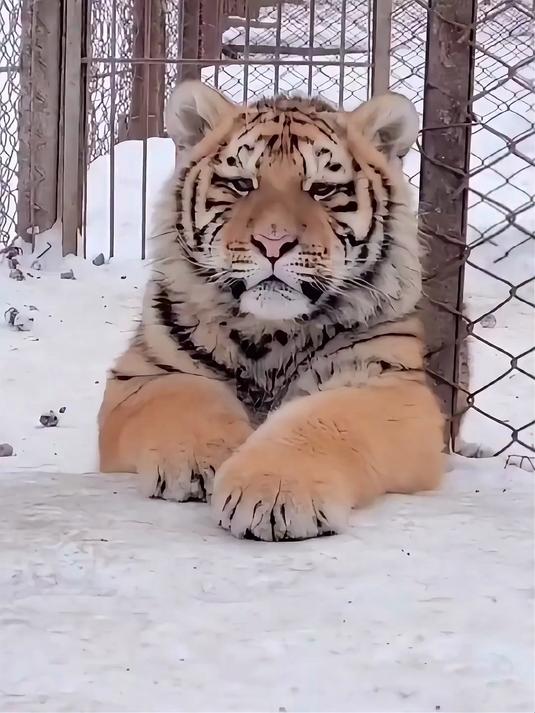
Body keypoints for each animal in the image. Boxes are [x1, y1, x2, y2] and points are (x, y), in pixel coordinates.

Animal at [98, 80, 445, 541]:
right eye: (242, 184)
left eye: (322, 189)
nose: (273, 243)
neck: (269, 332)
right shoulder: (141, 375)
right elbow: (184, 395)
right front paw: (203, 462)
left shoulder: (392, 386)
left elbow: (327, 419)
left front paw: (273, 490)